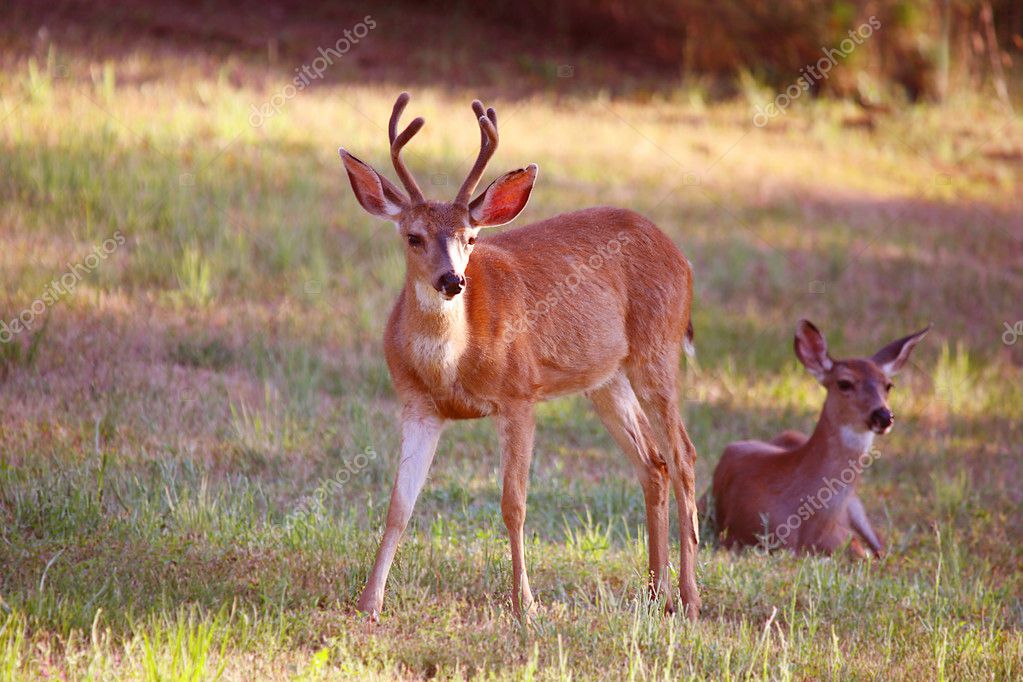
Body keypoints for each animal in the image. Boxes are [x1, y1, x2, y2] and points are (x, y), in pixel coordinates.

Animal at [339, 93, 699, 621]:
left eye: (471, 238)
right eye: (412, 236)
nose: (452, 280)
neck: (451, 363)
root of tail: (681, 257)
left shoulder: (520, 393)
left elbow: (514, 503)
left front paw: (524, 603)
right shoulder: (417, 405)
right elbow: (398, 505)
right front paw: (369, 603)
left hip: (658, 347)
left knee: (684, 456)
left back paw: (690, 599)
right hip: (605, 378)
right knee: (653, 463)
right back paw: (656, 594)